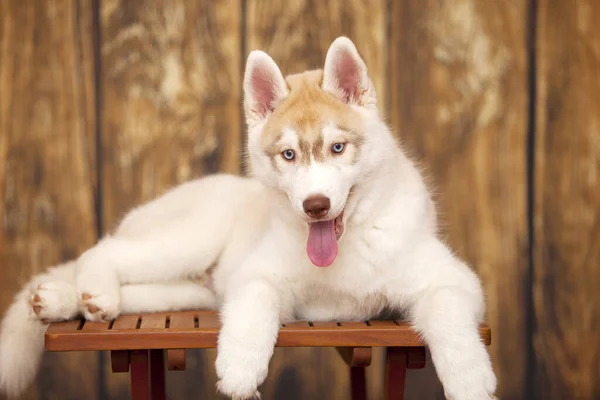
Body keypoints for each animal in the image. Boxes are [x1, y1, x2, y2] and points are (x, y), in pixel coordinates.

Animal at [0, 36, 496, 396]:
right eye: (289, 155)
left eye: (338, 147)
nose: (315, 205)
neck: (346, 248)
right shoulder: (257, 272)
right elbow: (256, 300)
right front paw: (240, 367)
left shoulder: (453, 278)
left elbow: (450, 313)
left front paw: (469, 379)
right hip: (188, 239)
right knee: (103, 250)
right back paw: (90, 291)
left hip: (194, 289)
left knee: (139, 289)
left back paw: (65, 300)